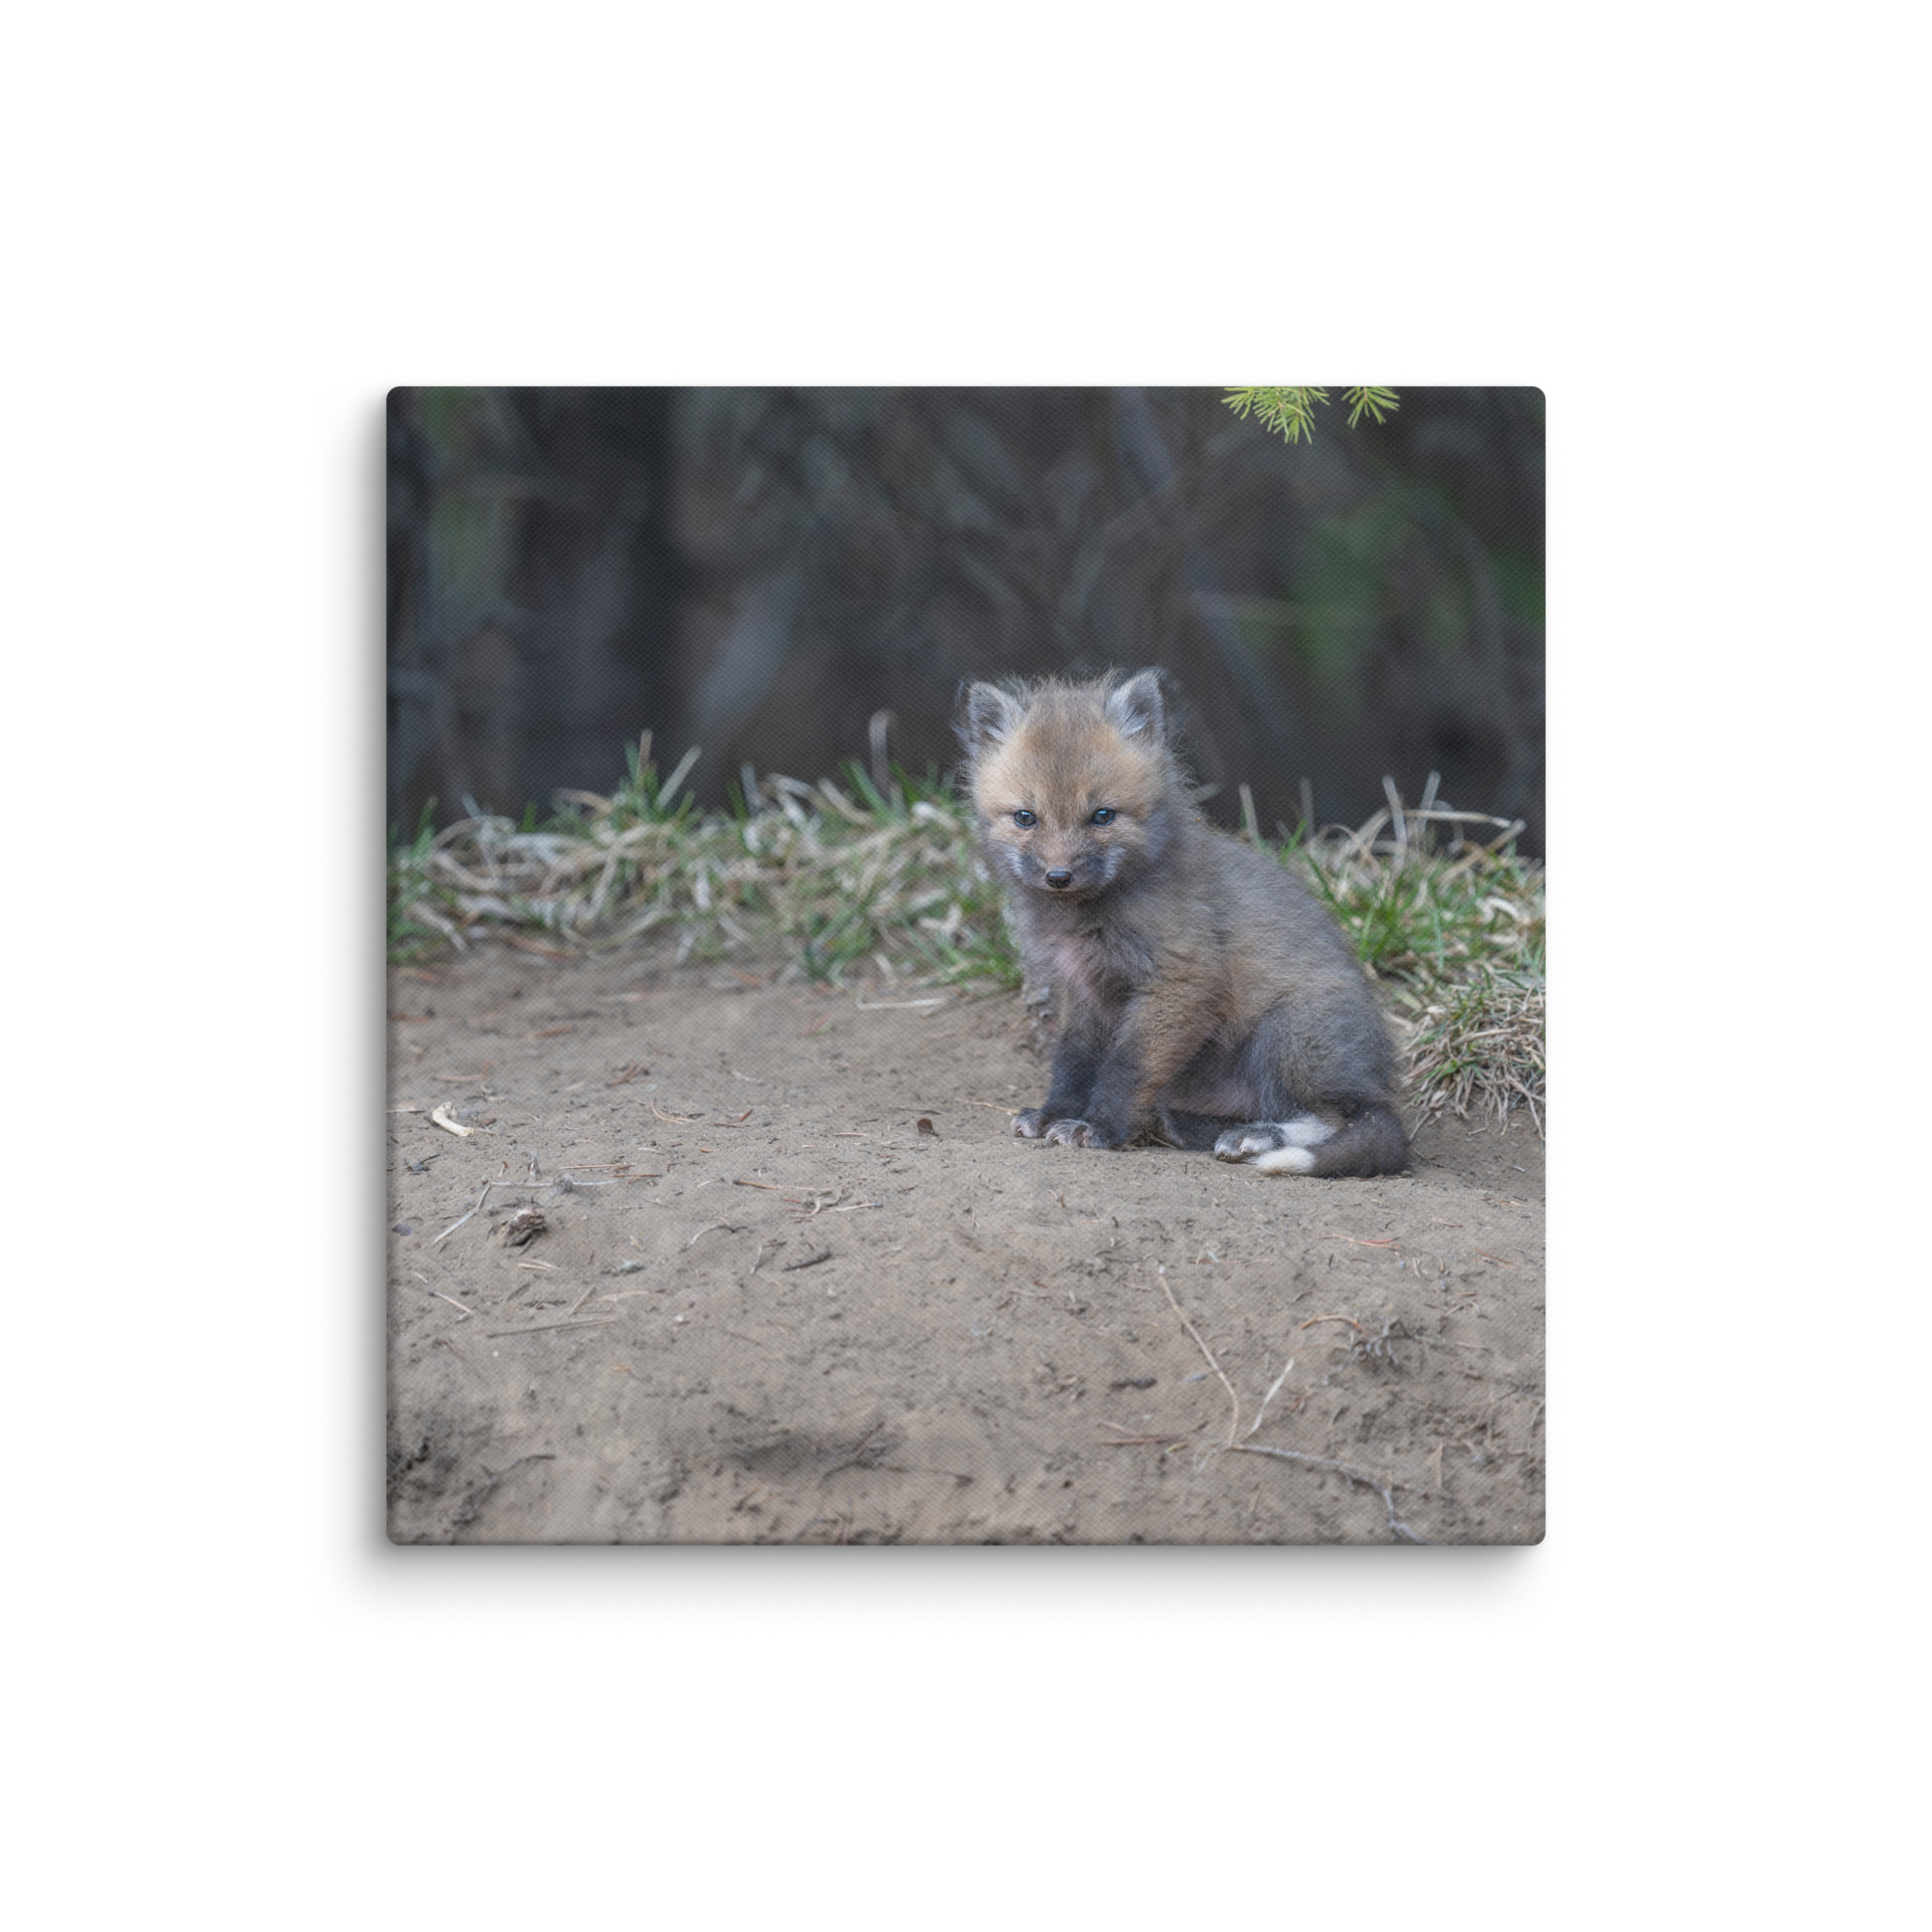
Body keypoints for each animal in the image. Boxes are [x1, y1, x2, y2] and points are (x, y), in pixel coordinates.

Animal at [957, 668, 1407, 1178]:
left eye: (1102, 816)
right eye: (1026, 818)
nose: (1058, 876)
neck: (1087, 919)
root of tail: (1377, 1080)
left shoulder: (1181, 980)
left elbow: (1126, 1067)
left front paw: (1099, 1127)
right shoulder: (1083, 991)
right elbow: (1073, 1061)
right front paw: (1056, 1113)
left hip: (1287, 1034)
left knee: (1340, 1117)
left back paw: (1257, 1137)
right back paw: (1190, 1126)